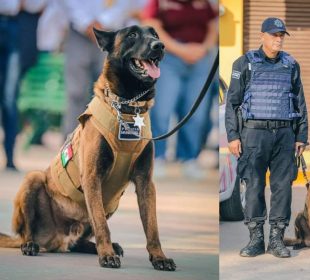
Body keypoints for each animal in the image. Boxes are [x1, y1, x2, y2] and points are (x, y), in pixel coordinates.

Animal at [0, 25, 176, 272]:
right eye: (132, 35)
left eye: (155, 35)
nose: (159, 46)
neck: (128, 107)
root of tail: (56, 241)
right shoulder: (93, 177)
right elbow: (102, 224)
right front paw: (107, 255)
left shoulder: (145, 183)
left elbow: (152, 226)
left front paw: (159, 257)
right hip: (33, 178)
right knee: (27, 232)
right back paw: (31, 244)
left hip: (111, 202)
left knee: (78, 242)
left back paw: (105, 247)